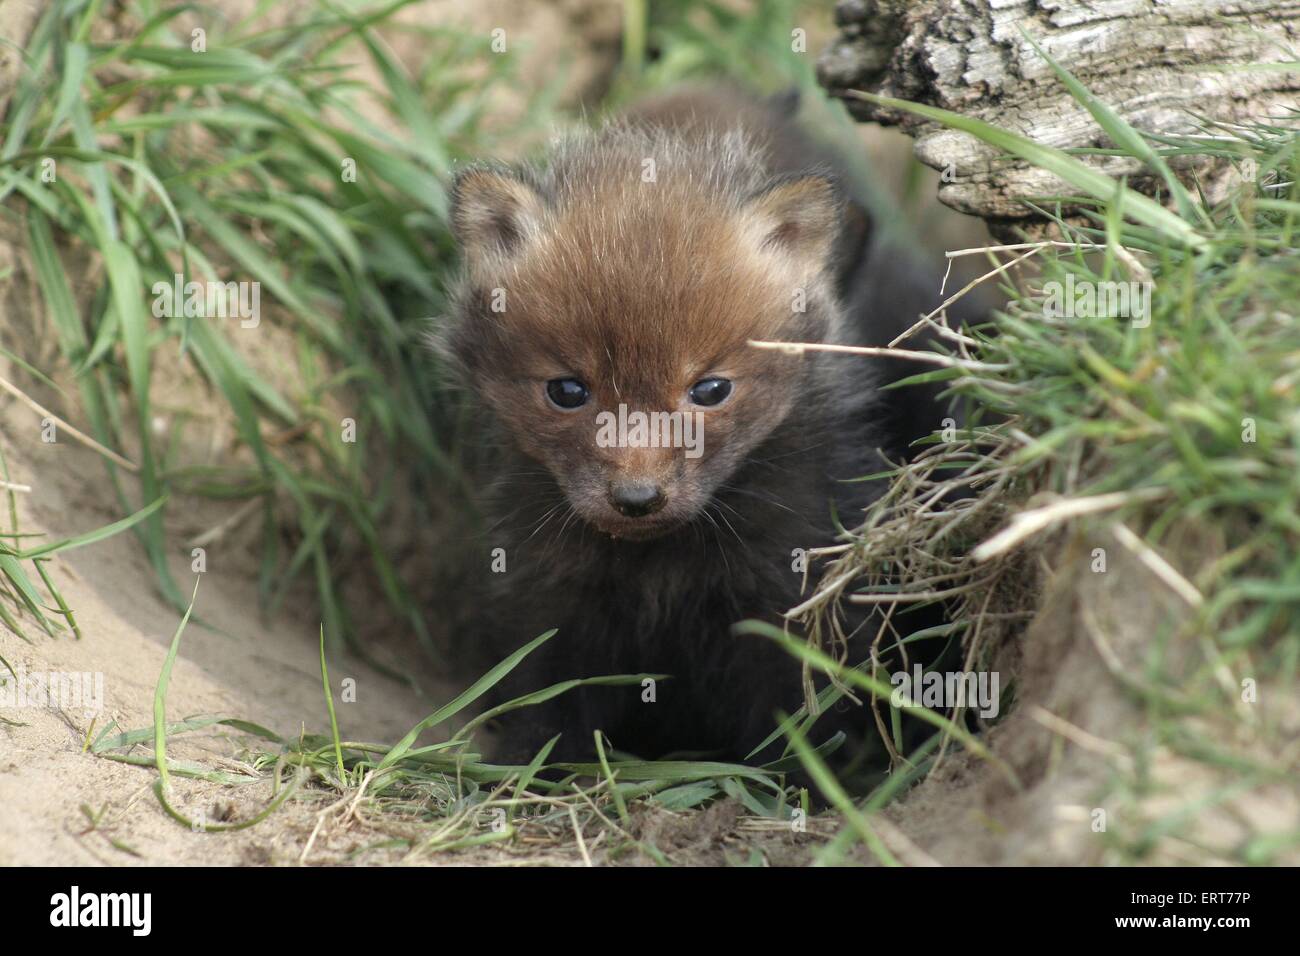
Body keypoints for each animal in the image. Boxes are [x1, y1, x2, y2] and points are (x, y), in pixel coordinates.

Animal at [438, 86, 965, 765]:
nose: (637, 499)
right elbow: (545, 704)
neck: (661, 567)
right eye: (567, 391)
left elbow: (809, 718)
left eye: (710, 390)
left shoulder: (794, 593)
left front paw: (815, 781)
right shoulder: (550, 594)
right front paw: (533, 771)